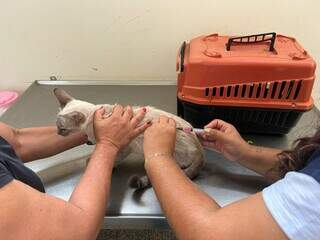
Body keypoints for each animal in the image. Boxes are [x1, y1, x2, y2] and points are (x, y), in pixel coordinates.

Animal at [54, 88, 206, 189]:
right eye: (57, 126)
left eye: (62, 129)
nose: (57, 133)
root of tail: (200, 149)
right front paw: (89, 143)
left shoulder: (125, 147)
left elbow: (113, 158)